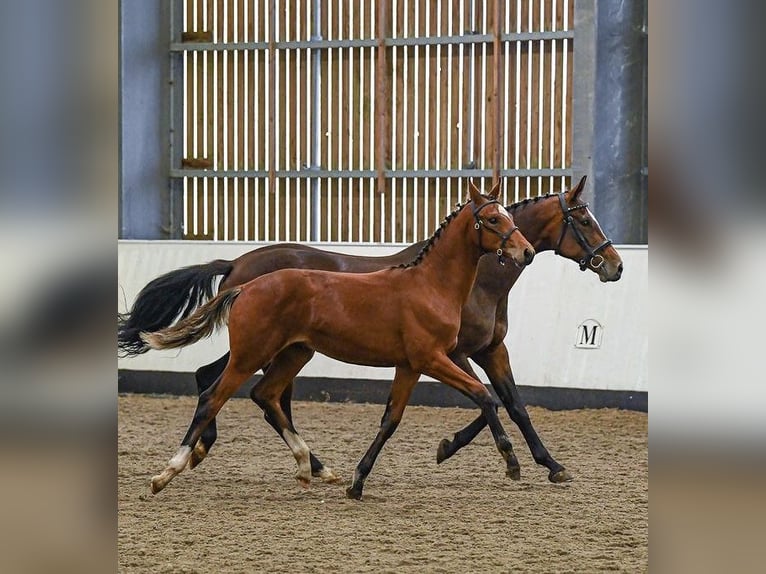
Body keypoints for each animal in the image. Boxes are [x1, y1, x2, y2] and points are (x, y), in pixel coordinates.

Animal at [120, 176, 624, 486]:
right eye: (582, 219)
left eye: (515, 220)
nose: (615, 266)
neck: (472, 281)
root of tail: (239, 269)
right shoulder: (452, 354)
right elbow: (490, 402)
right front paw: (456, 449)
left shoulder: (489, 349)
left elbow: (513, 403)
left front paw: (551, 465)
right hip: (260, 350)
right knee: (218, 386)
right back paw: (188, 460)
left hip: (292, 351)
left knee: (262, 395)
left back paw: (307, 465)